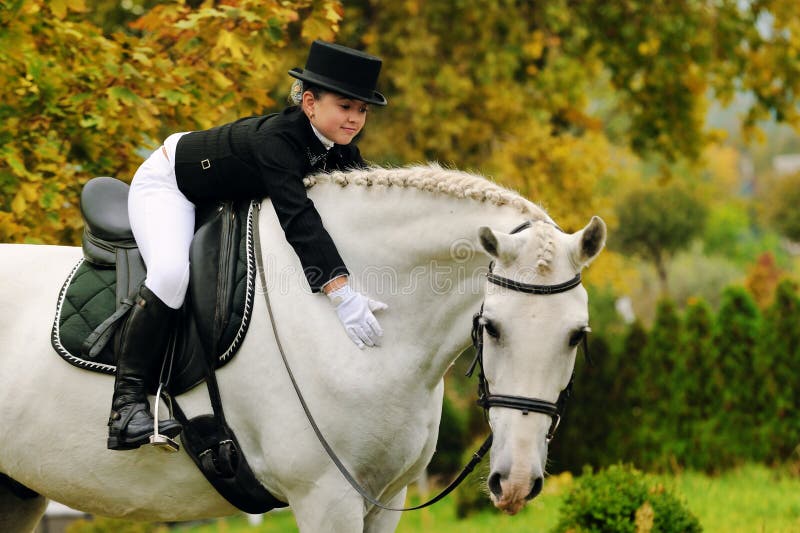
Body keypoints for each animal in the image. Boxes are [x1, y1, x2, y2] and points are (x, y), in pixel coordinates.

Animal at [0, 164, 608, 528]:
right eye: (493, 328)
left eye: (576, 336)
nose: (516, 482)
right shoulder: (325, 497)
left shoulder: (386, 501)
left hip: (17, 490)